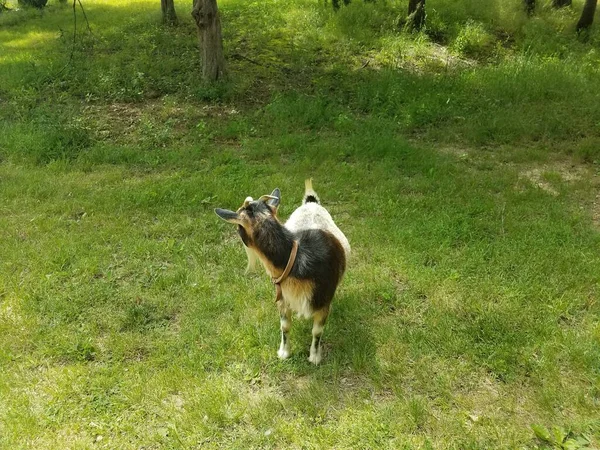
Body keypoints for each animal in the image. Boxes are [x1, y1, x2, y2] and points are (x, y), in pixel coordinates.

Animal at [214, 179, 350, 366]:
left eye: (238, 229)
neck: (295, 259)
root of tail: (311, 203)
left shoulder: (322, 301)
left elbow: (317, 331)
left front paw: (314, 357)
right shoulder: (283, 297)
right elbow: (285, 326)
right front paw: (284, 353)